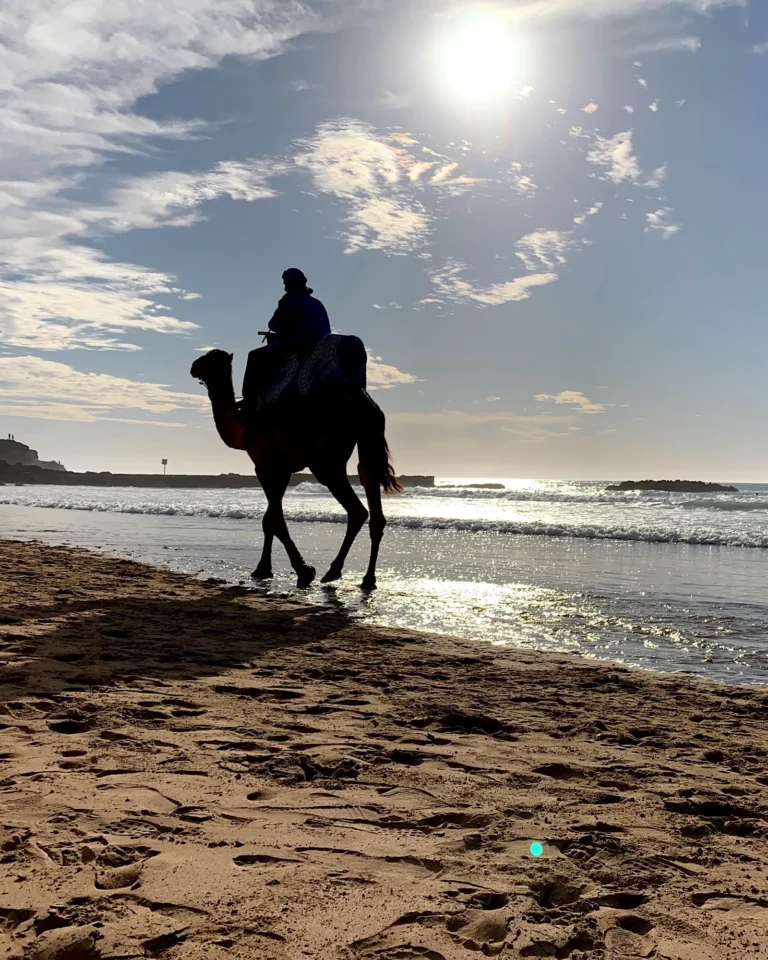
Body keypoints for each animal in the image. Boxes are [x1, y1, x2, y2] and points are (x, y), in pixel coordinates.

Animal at [190, 349, 401, 590]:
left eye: (210, 359)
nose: (193, 366)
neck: (243, 427)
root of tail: (368, 407)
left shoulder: (265, 465)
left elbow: (276, 520)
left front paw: (304, 571)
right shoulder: (283, 469)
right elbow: (269, 519)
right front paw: (263, 569)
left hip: (326, 459)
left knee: (356, 509)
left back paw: (333, 571)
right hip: (368, 444)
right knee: (370, 489)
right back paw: (367, 579)